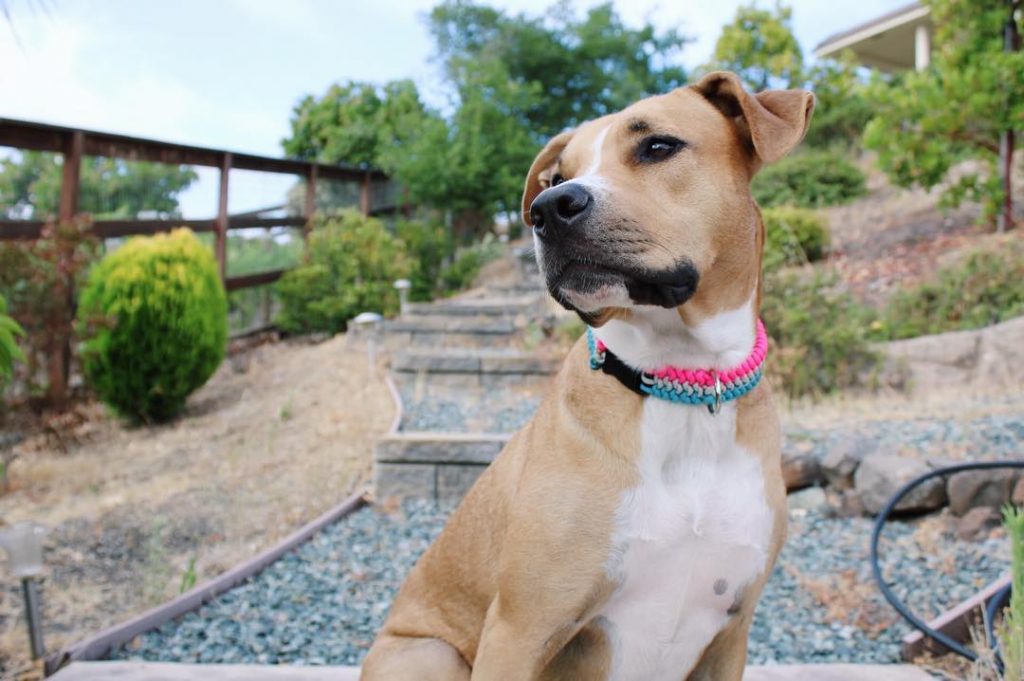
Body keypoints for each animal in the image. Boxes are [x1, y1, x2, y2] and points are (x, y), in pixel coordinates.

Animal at [364, 71, 811, 675]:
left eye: (658, 146)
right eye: (557, 177)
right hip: (430, 654)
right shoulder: (519, 631)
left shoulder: (730, 634)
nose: (549, 208)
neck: (685, 382)